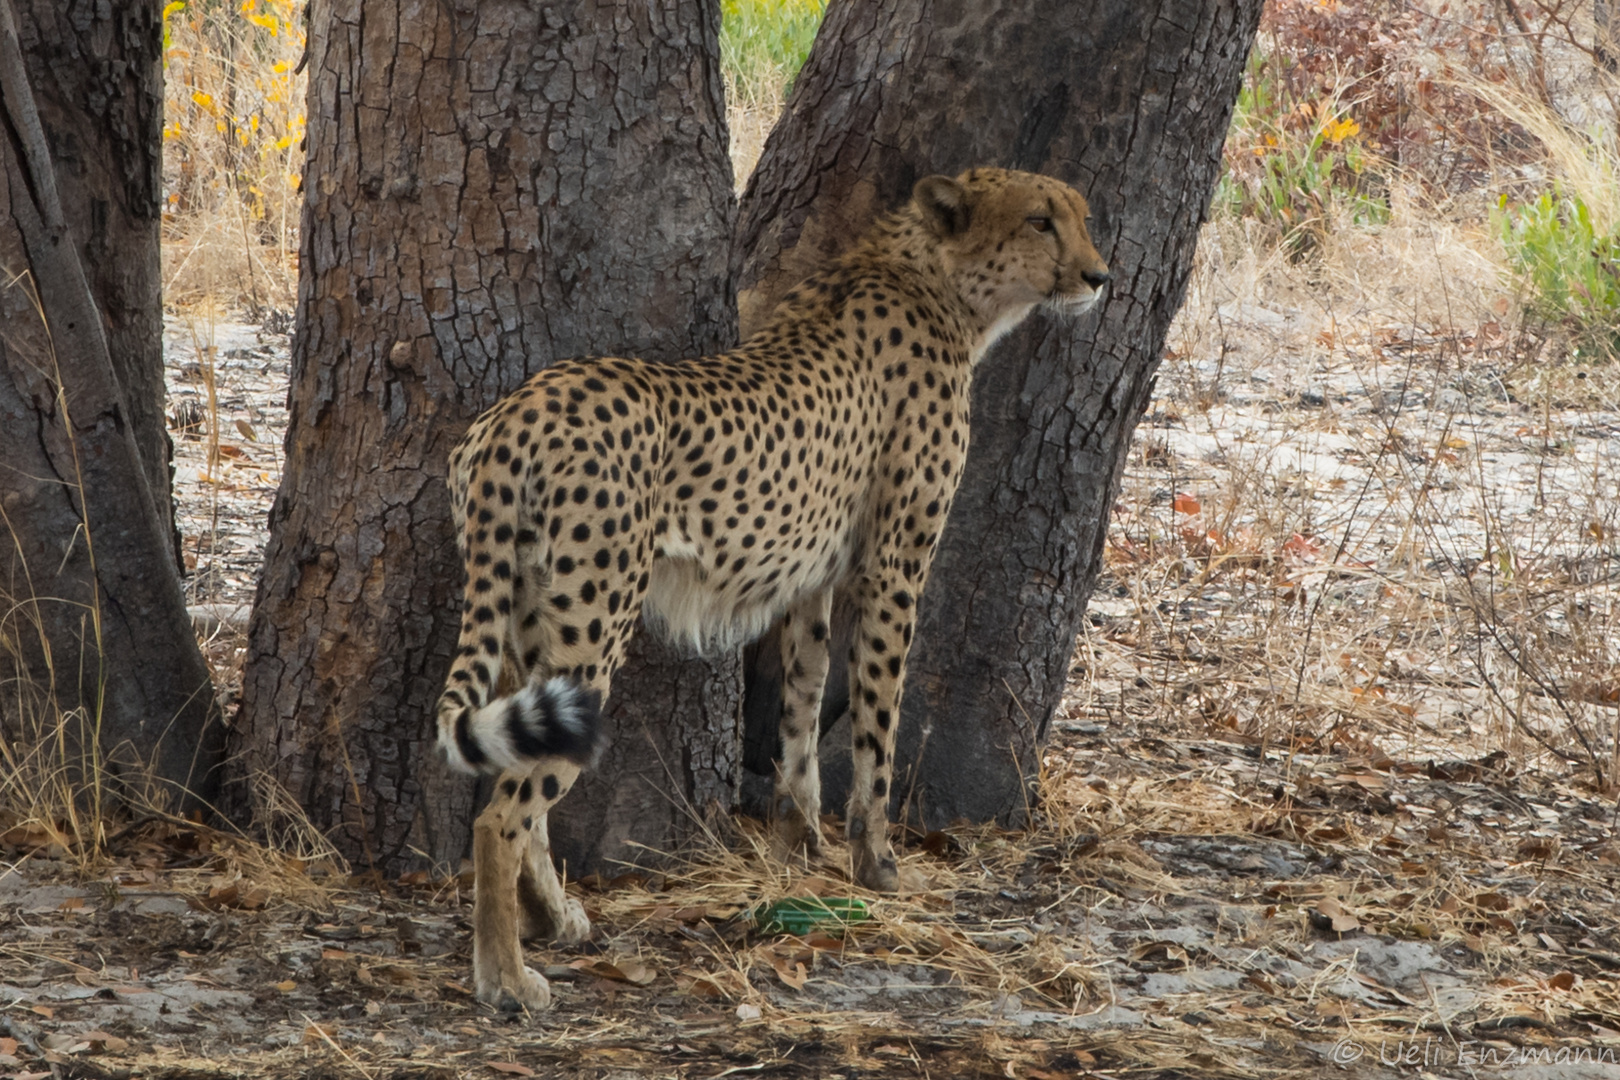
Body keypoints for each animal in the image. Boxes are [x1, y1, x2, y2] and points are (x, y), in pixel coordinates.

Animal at [437, 169, 1108, 1016]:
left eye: (1081, 216)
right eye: (1039, 221)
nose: (1100, 277)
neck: (935, 280)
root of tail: (518, 410)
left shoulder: (808, 579)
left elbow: (802, 703)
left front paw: (800, 842)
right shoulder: (895, 567)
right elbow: (878, 726)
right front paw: (877, 864)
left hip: (532, 622)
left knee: (515, 779)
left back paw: (552, 919)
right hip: (595, 623)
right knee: (501, 816)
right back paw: (504, 976)